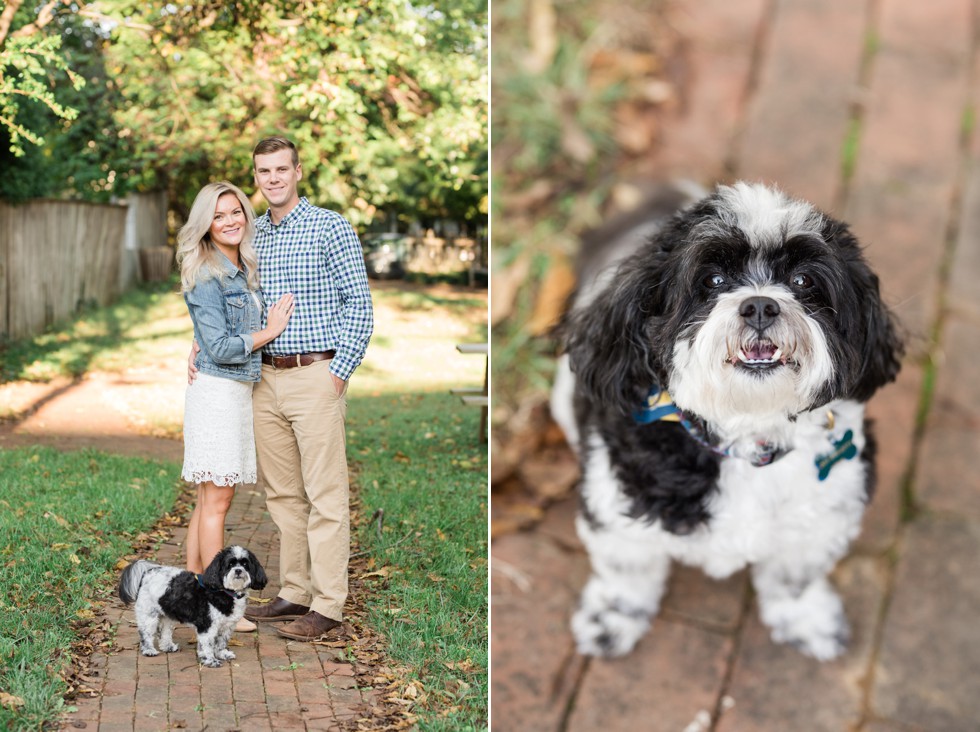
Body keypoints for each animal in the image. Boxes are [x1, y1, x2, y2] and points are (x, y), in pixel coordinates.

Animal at [117, 544, 266, 668]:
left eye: (245, 564)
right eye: (230, 564)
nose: (238, 570)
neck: (225, 592)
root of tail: (149, 571)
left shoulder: (227, 626)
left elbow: (221, 642)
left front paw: (222, 653)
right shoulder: (207, 625)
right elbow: (208, 644)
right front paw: (210, 660)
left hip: (167, 615)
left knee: (165, 631)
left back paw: (168, 646)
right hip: (149, 614)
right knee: (146, 633)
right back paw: (148, 650)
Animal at [552, 182, 904, 656]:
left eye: (802, 281)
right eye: (713, 281)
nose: (760, 306)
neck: (747, 432)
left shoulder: (823, 519)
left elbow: (793, 578)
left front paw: (806, 619)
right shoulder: (616, 510)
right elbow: (627, 572)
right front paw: (611, 618)